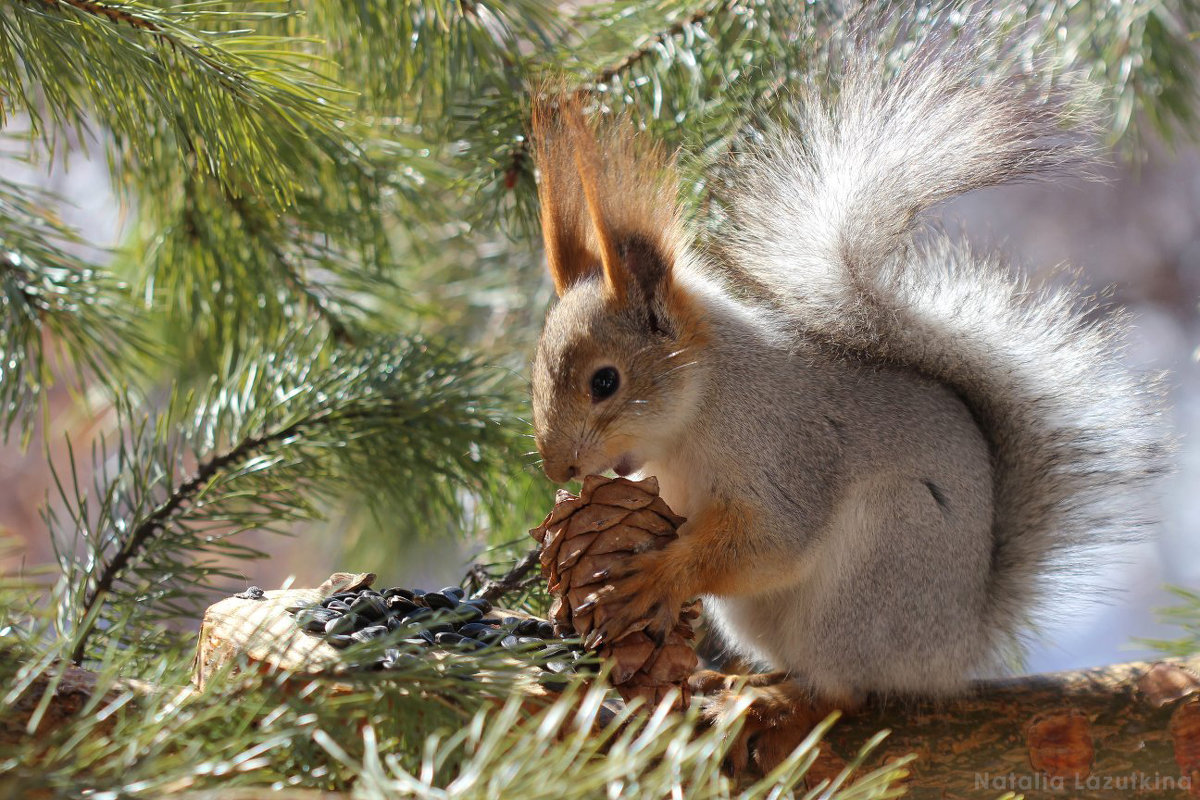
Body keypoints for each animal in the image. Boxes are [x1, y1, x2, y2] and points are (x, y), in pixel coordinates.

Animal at [530, 23, 1166, 767]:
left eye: (606, 381)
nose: (557, 468)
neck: (699, 411)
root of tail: (955, 651)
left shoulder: (786, 447)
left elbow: (772, 541)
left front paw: (662, 576)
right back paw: (740, 682)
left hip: (881, 565)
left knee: (844, 690)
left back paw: (778, 701)